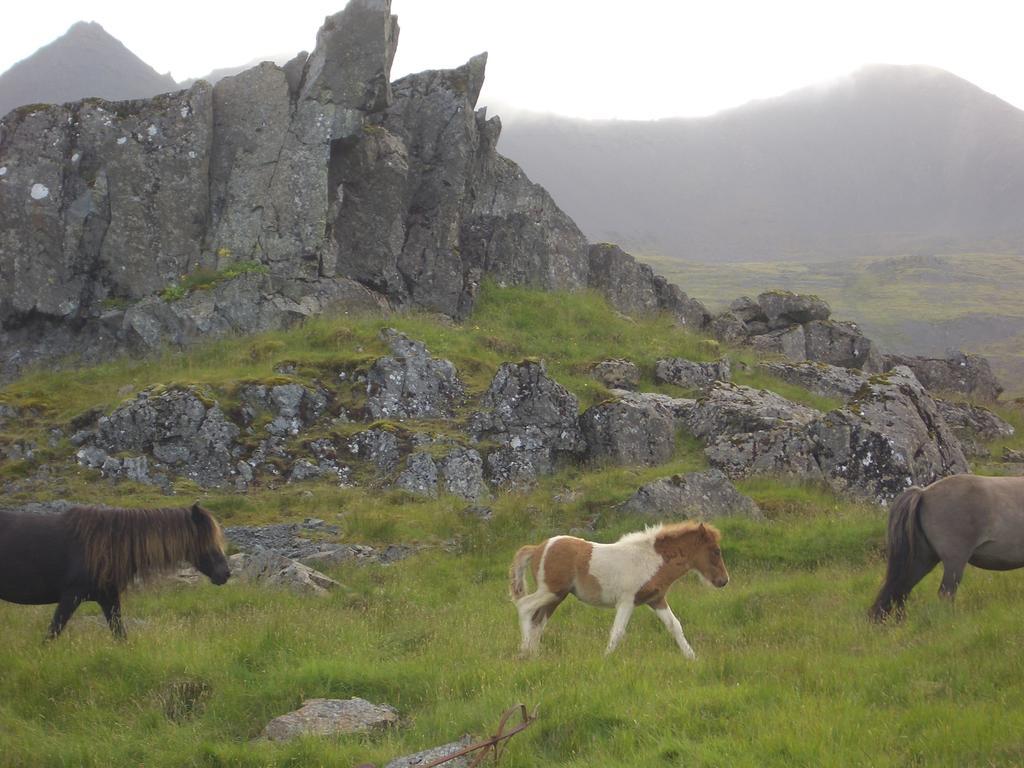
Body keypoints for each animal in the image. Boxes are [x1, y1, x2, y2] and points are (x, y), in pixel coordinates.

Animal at [0, 501, 230, 638]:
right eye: (207, 539)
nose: (226, 573)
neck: (108, 545)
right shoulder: (70, 597)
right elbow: (52, 633)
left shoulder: (108, 598)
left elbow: (120, 635)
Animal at [507, 524, 724, 663]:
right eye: (716, 551)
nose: (724, 580)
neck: (650, 559)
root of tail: (538, 547)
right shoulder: (627, 601)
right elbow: (618, 631)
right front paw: (606, 658)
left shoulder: (656, 600)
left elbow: (675, 626)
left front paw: (692, 657)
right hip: (550, 591)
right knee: (525, 606)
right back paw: (524, 651)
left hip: (556, 596)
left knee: (538, 621)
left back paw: (534, 655)